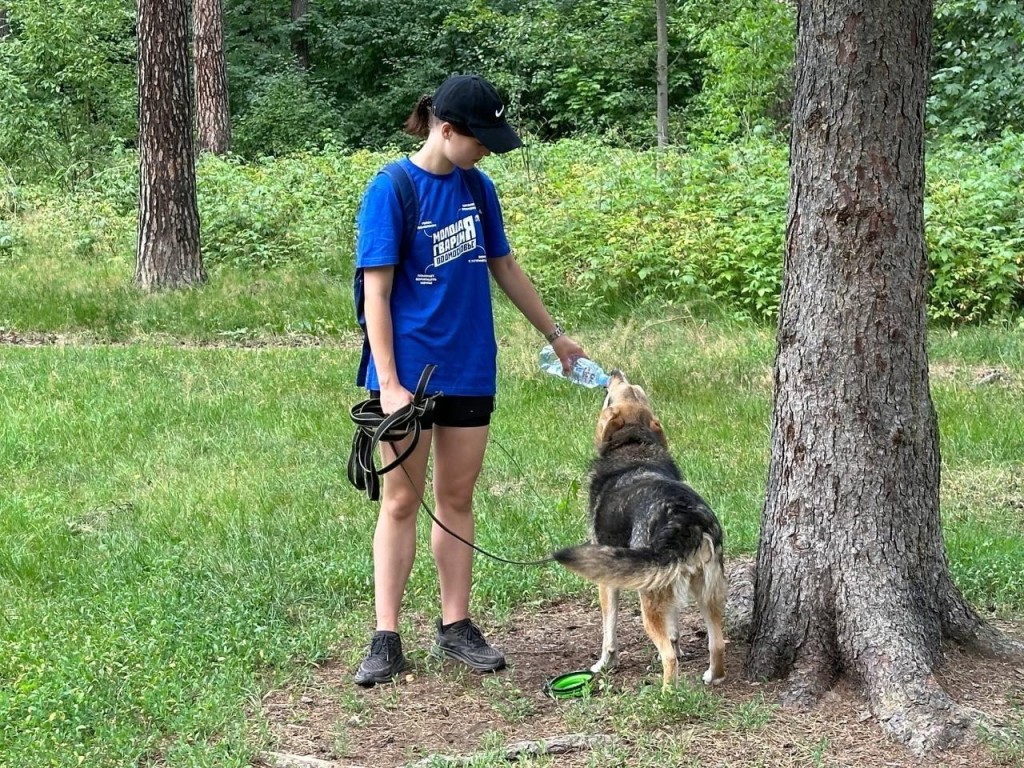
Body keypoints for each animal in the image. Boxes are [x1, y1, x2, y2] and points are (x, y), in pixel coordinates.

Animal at [552, 372, 729, 692]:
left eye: (614, 395)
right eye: (636, 389)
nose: (614, 371)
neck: (635, 446)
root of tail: (686, 518)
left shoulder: (608, 580)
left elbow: (609, 631)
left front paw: (604, 664)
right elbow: (675, 631)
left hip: (649, 599)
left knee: (668, 657)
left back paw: (667, 695)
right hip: (707, 591)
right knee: (717, 643)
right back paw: (712, 675)